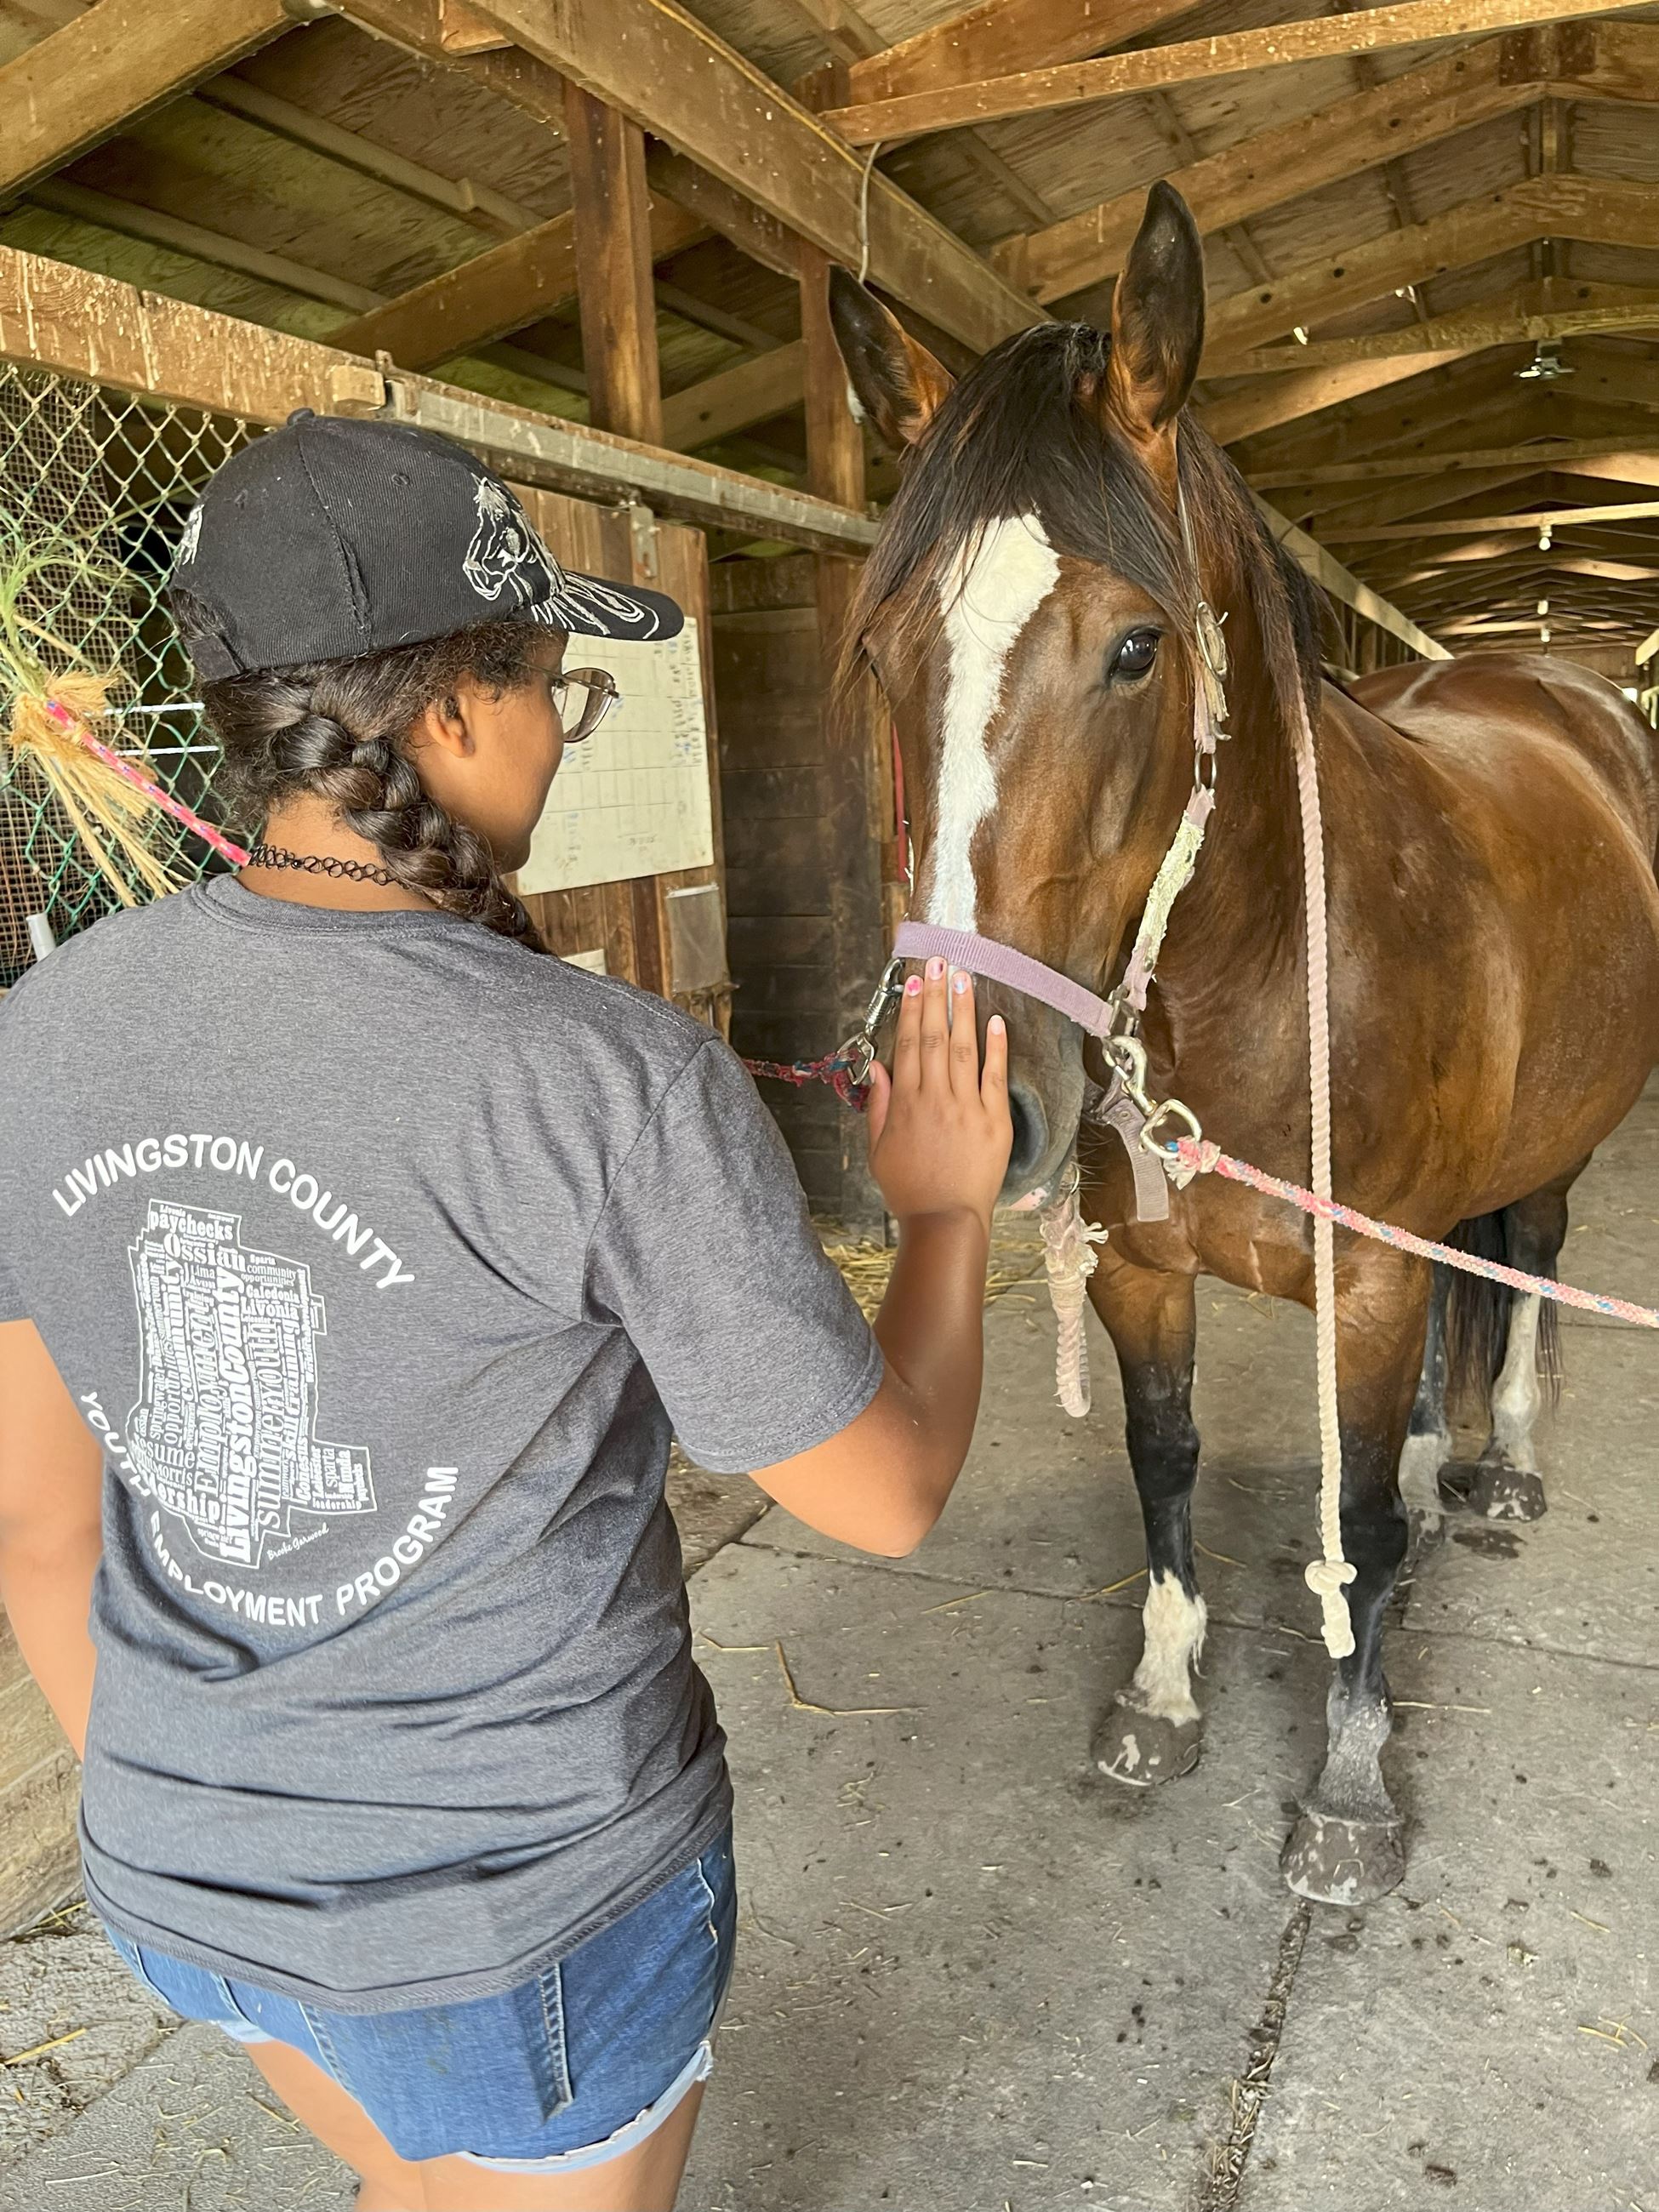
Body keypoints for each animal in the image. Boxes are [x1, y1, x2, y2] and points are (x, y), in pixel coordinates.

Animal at [827, 182, 1659, 1905]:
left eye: (1137, 649)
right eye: (882, 653)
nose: (952, 1096)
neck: (1262, 982)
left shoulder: (1376, 1276)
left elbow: (1356, 1529)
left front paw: (1348, 1789)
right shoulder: (1144, 1270)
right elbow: (1167, 1461)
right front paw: (1159, 1698)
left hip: (1549, 1151)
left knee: (1533, 1257)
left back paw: (1501, 1463)